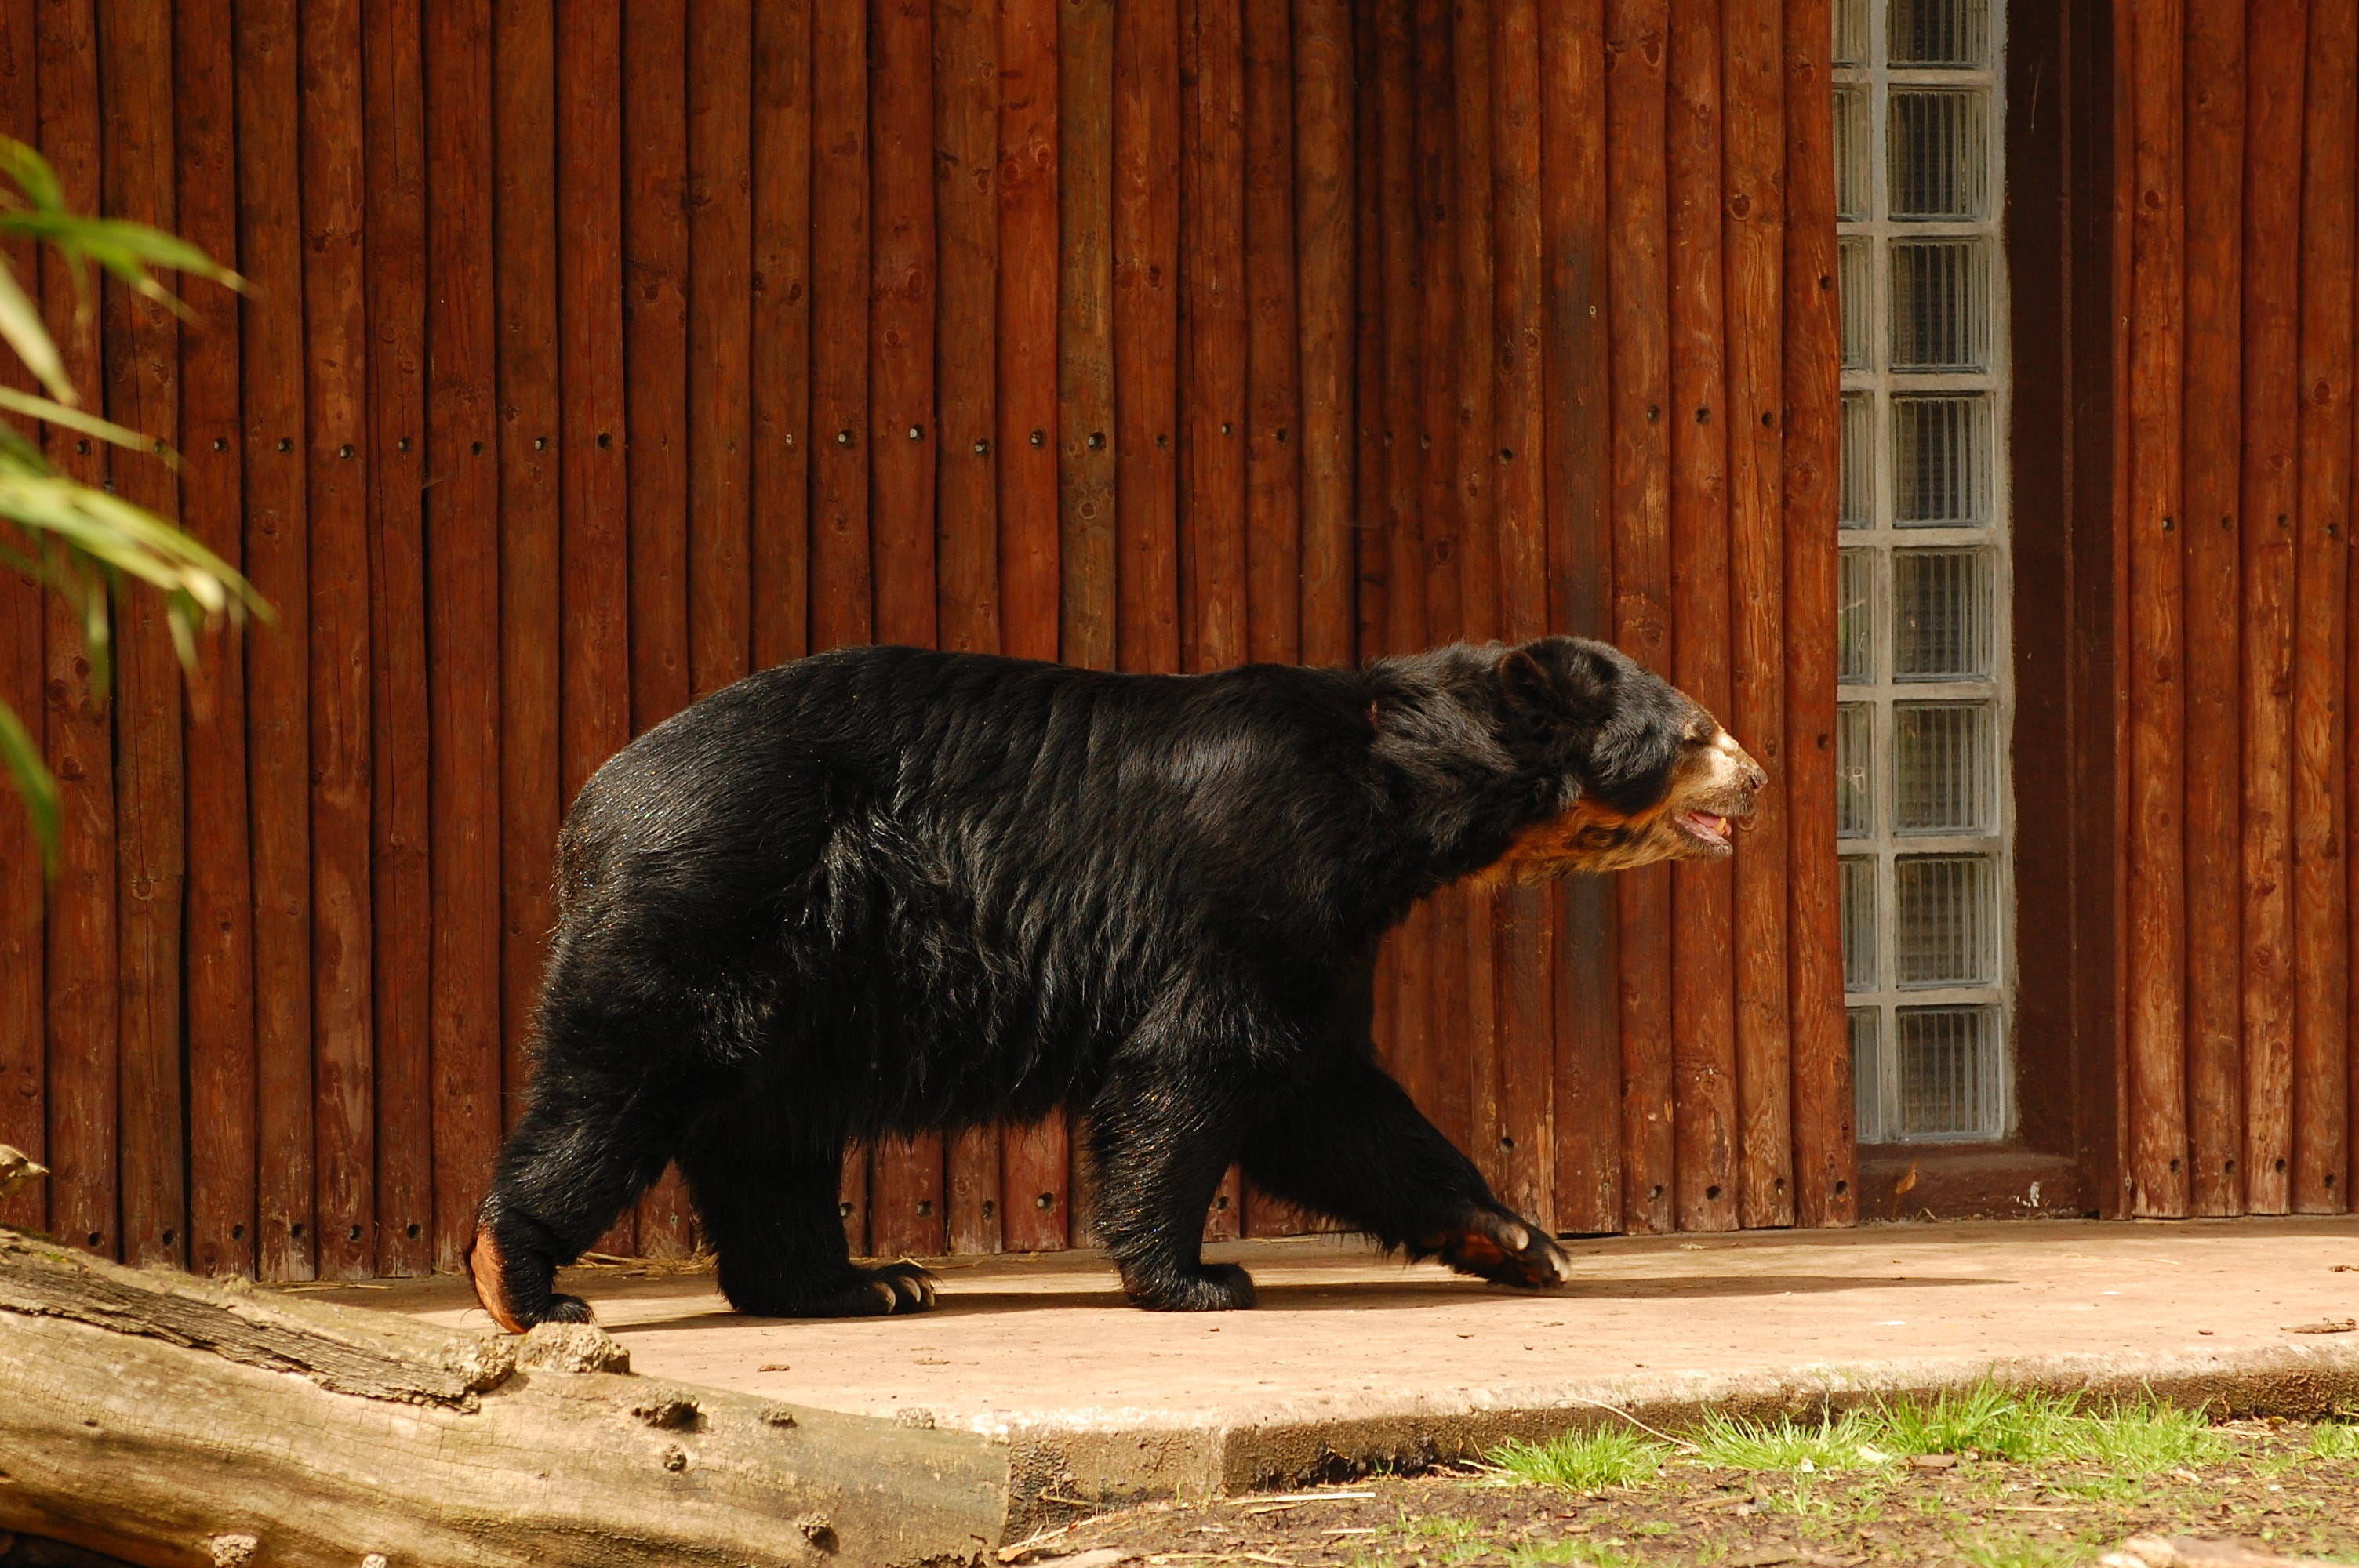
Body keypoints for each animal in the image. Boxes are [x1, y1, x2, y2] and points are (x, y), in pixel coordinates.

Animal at [467, 636, 1764, 1329]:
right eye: (1693, 728)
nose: (1757, 780)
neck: (1398, 793)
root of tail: (592, 806)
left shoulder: (1331, 928)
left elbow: (1336, 1105)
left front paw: (1521, 1239)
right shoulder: (1259, 874)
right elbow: (1198, 1065)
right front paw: (1197, 1276)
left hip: (804, 984)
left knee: (766, 1137)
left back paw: (862, 1281)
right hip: (716, 903)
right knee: (616, 1083)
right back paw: (525, 1281)